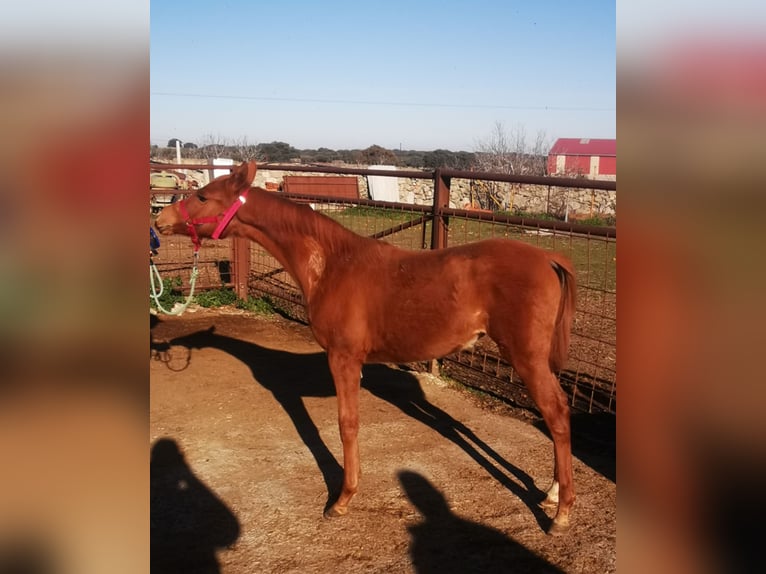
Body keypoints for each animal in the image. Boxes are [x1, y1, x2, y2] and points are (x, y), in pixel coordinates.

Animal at [155, 161, 577, 535]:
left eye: (203, 195)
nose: (160, 221)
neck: (331, 265)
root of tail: (550, 257)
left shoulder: (343, 359)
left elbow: (347, 425)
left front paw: (342, 499)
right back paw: (552, 493)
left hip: (526, 358)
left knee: (556, 414)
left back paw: (561, 514)